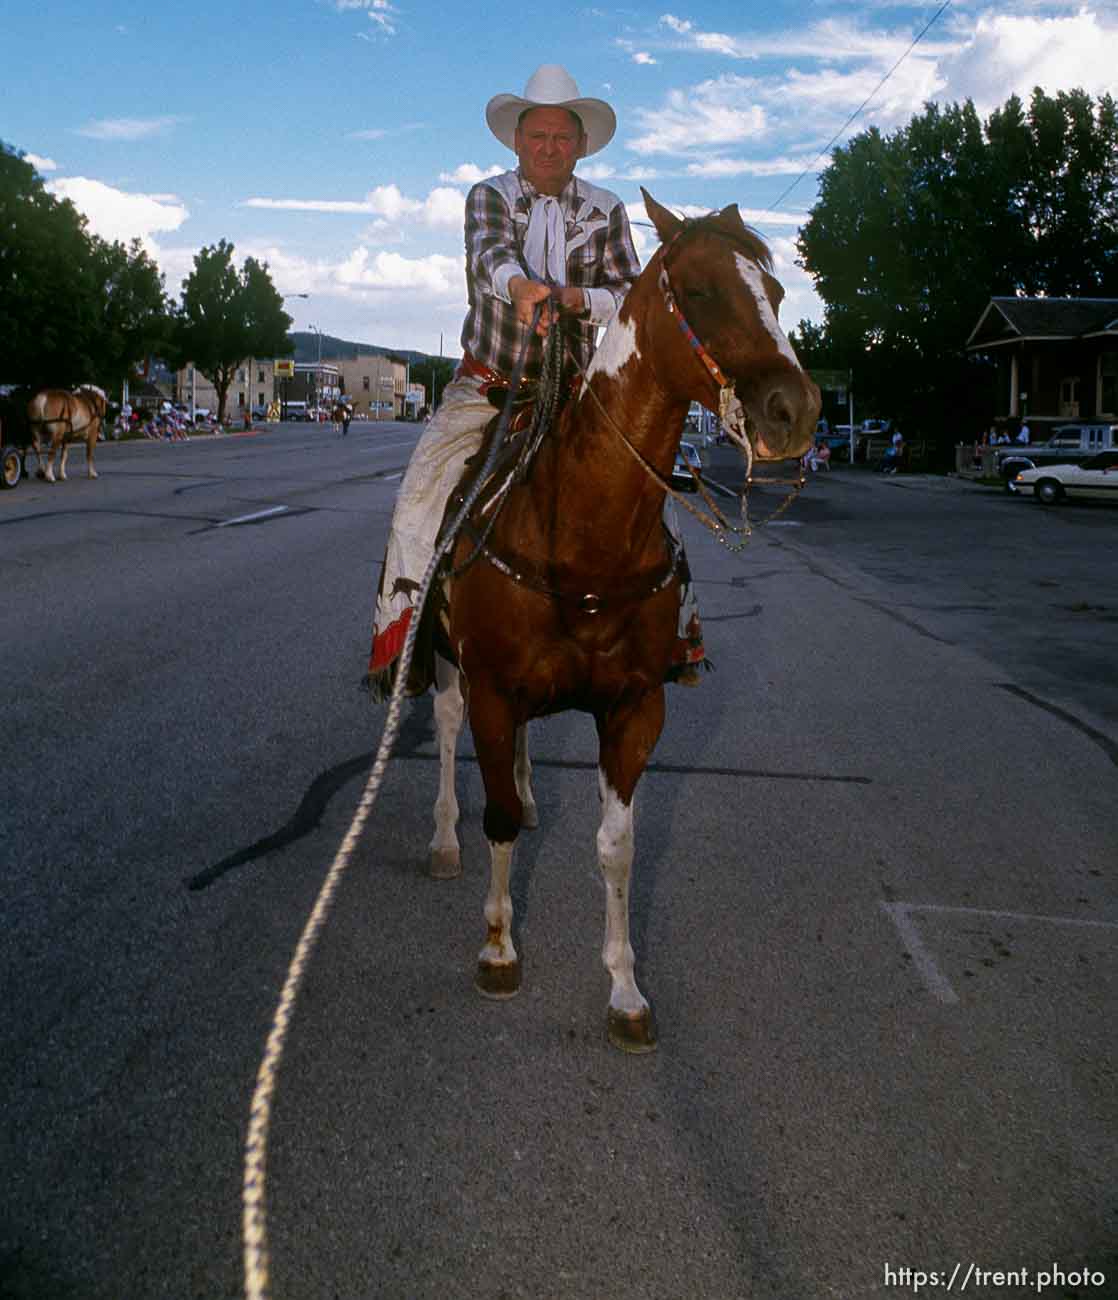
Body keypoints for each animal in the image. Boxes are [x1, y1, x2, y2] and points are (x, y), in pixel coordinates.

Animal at [421, 189, 821, 1045]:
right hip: (445, 660)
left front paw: (625, 988)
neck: (586, 531)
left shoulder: (636, 707)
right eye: (700, 289)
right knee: (443, 728)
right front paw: (499, 949)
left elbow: (616, 847)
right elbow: (495, 817)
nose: (796, 412)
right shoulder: (494, 690)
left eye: (776, 293)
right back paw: (441, 839)